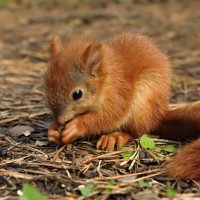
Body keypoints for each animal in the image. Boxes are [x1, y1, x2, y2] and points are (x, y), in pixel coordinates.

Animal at [45, 32, 200, 180]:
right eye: (46, 86)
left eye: (77, 94)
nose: (61, 120)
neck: (106, 78)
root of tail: (159, 115)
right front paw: (53, 129)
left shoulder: (118, 95)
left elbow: (108, 116)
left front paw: (76, 126)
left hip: (143, 100)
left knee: (136, 131)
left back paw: (115, 136)